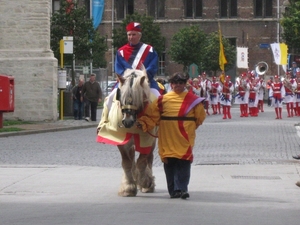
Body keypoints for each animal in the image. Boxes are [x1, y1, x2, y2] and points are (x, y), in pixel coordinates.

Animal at [97, 67, 157, 196]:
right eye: (121, 97)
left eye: (138, 98)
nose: (127, 122)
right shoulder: (121, 140)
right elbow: (127, 162)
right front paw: (128, 187)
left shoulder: (147, 140)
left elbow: (142, 161)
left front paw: (145, 182)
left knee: (149, 158)